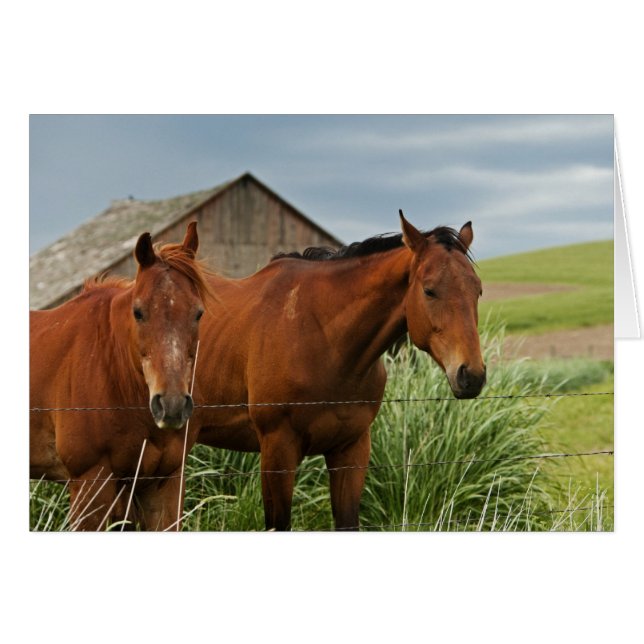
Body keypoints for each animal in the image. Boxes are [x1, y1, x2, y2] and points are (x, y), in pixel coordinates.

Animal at [192, 211, 485, 530]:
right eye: (429, 290)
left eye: (478, 290)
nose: (472, 375)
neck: (324, 340)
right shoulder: (277, 451)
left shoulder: (351, 450)